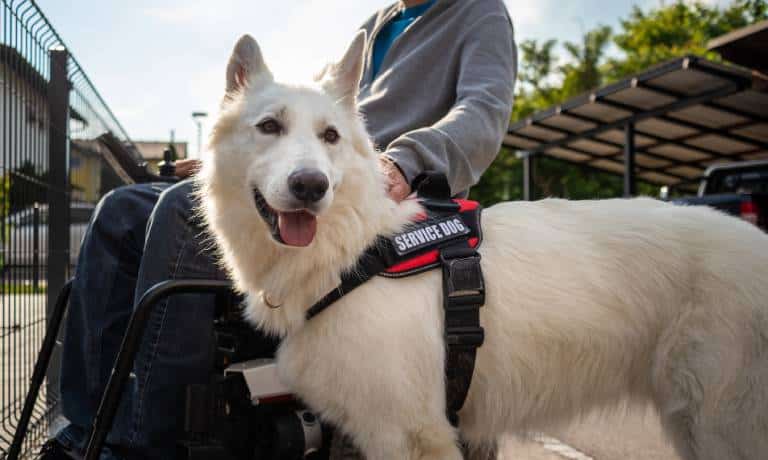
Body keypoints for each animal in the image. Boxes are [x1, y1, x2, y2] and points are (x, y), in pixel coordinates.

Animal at [198, 34, 768, 460]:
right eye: (269, 127)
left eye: (330, 136)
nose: (311, 186)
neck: (356, 250)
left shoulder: (410, 434)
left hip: (720, 429)